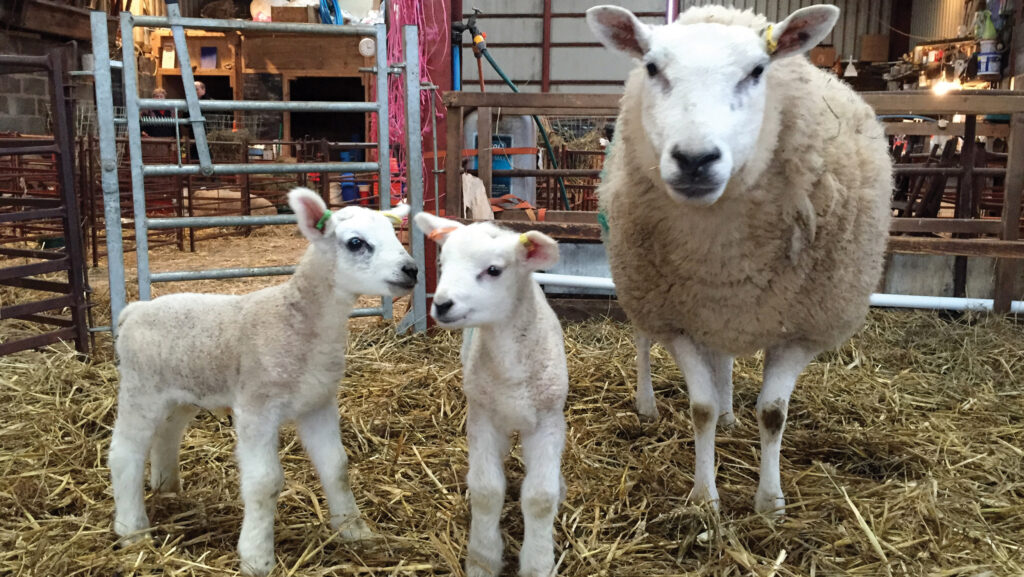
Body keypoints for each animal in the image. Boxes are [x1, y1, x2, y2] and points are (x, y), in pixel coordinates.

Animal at [109, 187, 417, 575]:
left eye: (394, 233)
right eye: (356, 243)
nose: (412, 270)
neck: (296, 319)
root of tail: (135, 310)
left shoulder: (318, 402)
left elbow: (337, 467)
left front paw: (356, 532)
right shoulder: (257, 407)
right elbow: (265, 482)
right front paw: (257, 556)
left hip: (182, 390)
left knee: (167, 433)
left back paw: (168, 489)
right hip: (140, 387)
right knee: (125, 453)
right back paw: (132, 531)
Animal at [414, 213, 568, 577]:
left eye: (494, 270)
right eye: (442, 263)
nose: (441, 304)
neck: (510, 371)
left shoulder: (548, 421)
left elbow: (540, 498)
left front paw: (538, 564)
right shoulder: (482, 416)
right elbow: (486, 491)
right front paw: (483, 558)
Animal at [587, 4, 892, 515]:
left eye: (757, 71)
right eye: (652, 67)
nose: (695, 160)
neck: (722, 250)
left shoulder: (801, 328)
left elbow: (772, 414)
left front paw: (770, 502)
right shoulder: (677, 319)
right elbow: (700, 408)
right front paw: (704, 498)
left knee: (724, 361)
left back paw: (732, 415)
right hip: (643, 287)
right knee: (645, 342)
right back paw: (648, 405)